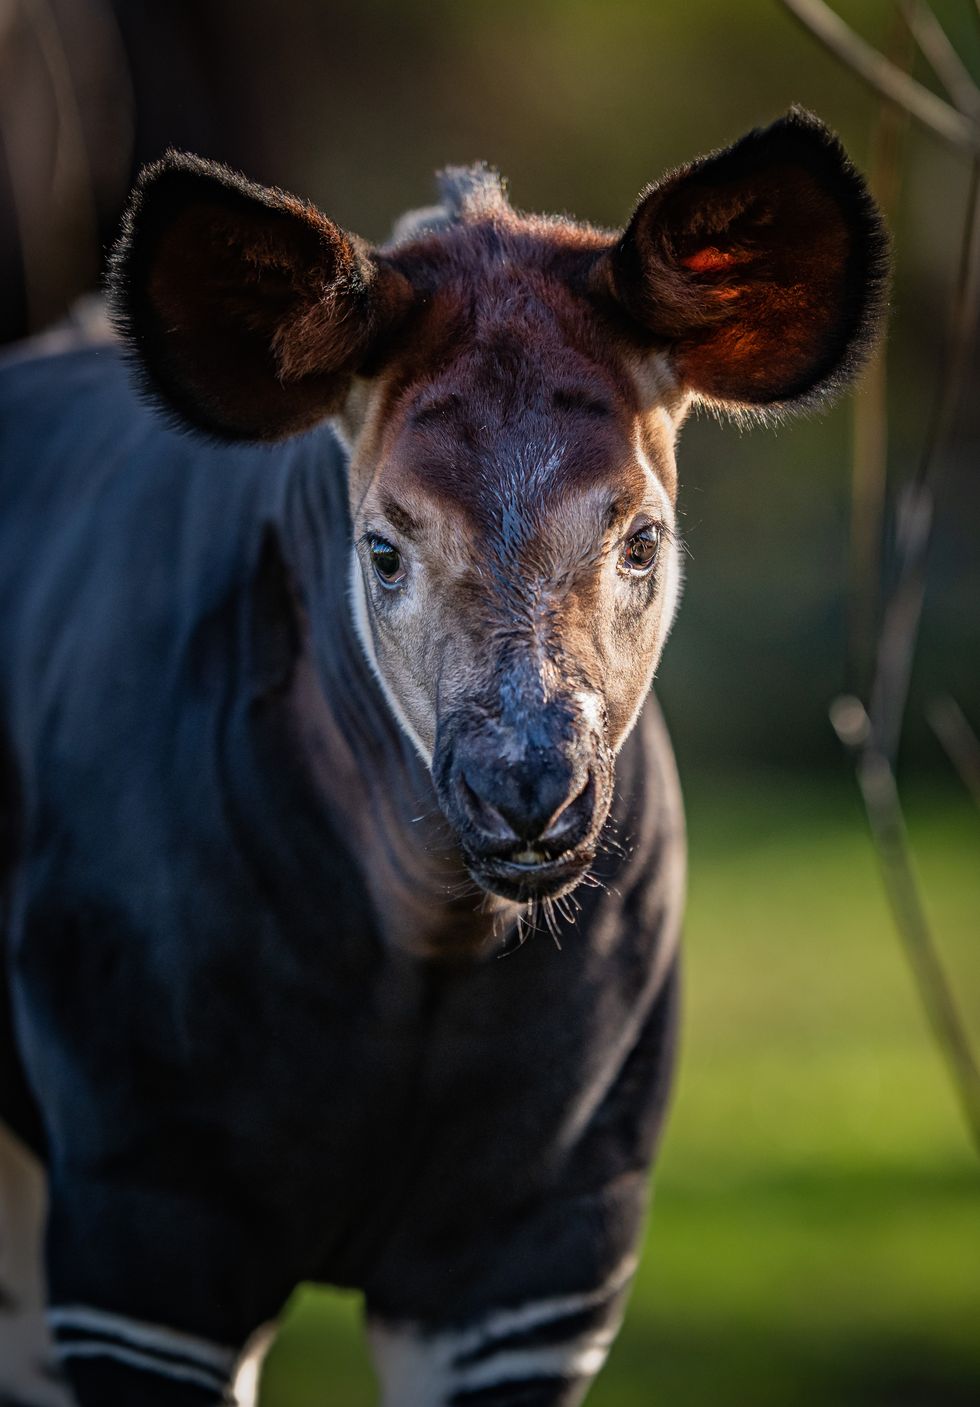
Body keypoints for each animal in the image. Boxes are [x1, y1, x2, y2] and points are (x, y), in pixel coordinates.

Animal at [0, 112, 882, 1407]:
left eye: (641, 538)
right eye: (381, 548)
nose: (527, 796)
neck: (424, 944)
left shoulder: (528, 1268)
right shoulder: (149, 1227)